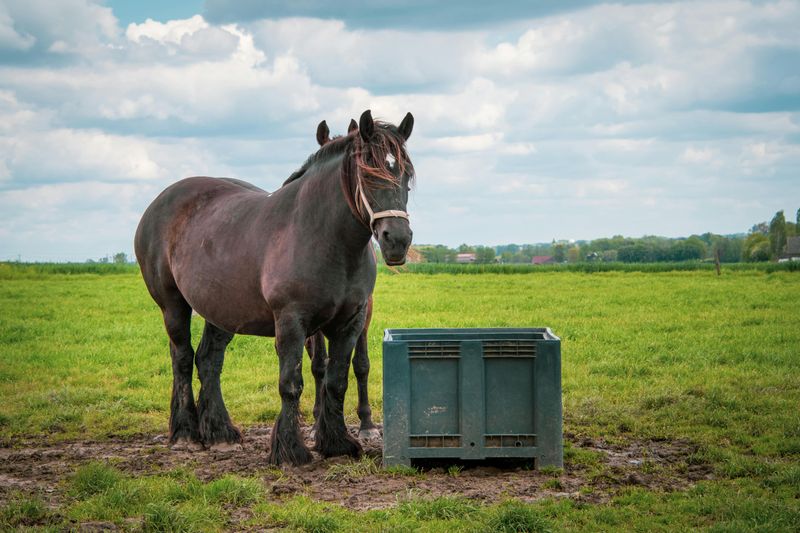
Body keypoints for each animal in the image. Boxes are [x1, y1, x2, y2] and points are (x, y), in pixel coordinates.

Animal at [134, 110, 416, 464]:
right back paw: (186, 434)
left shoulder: (350, 322)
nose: (398, 240)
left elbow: (336, 381)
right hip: (173, 306)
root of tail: (160, 202)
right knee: (182, 359)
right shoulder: (292, 322)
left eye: (406, 175)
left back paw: (220, 433)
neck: (324, 238)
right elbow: (291, 384)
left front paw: (337, 443)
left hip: (221, 312)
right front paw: (291, 450)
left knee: (209, 360)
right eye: (369, 173)